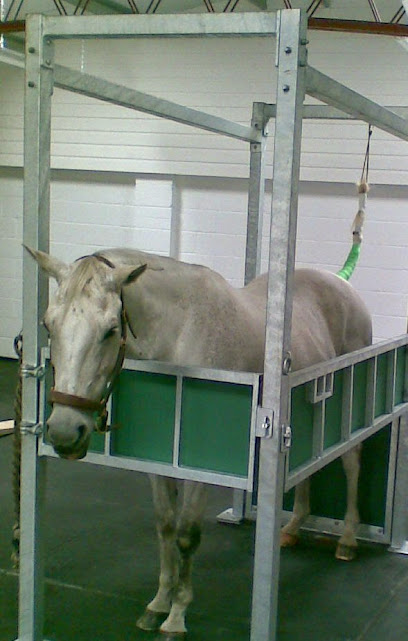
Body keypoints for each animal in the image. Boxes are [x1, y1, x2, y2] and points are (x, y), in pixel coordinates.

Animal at [26, 245, 372, 639]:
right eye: (48, 324)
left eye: (111, 330)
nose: (65, 431)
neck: (178, 333)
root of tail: (342, 283)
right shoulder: (160, 462)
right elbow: (165, 526)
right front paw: (158, 602)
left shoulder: (202, 471)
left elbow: (186, 535)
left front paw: (176, 616)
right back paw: (292, 528)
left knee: (352, 465)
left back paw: (347, 539)